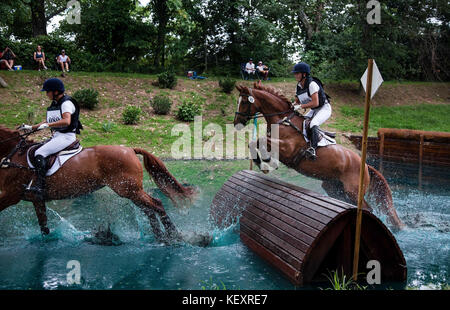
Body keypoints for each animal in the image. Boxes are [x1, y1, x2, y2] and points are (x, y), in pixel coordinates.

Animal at [0, 124, 197, 241]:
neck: (13, 156)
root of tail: (130, 149)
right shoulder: (36, 199)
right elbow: (44, 227)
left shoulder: (10, 195)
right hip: (131, 192)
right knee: (149, 209)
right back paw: (159, 236)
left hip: (129, 190)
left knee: (156, 204)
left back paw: (173, 235)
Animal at [236, 83, 404, 230]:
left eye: (244, 102)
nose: (236, 122)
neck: (282, 120)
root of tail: (366, 166)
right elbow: (254, 143)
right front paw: (263, 163)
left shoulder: (287, 148)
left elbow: (260, 140)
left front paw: (266, 163)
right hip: (334, 188)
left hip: (353, 191)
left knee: (367, 208)